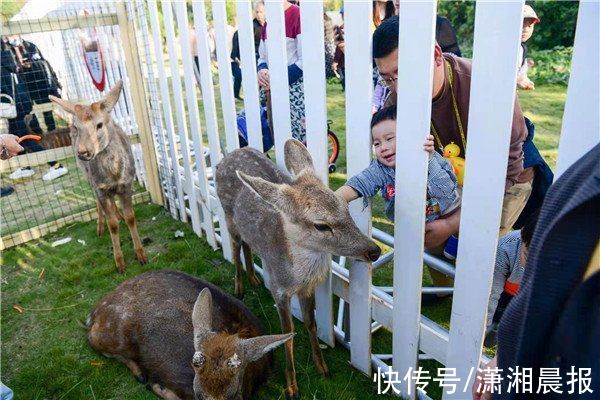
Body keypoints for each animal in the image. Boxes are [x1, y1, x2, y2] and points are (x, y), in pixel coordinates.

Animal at [49, 82, 146, 276]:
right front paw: (119, 263)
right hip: (88, 177)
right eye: (76, 127)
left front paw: (141, 255)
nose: (83, 152)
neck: (114, 175)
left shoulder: (127, 183)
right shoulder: (100, 187)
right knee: (99, 202)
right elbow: (112, 225)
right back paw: (100, 227)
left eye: (99, 124)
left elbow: (131, 217)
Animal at [88, 268, 294, 400]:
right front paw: (158, 386)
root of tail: (95, 311)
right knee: (93, 340)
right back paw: (141, 375)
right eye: (197, 392)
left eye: (233, 393)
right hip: (114, 336)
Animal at [218, 139, 382, 398]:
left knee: (246, 243)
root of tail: (230, 153)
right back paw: (239, 287)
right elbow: (288, 334)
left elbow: (311, 322)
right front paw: (292, 386)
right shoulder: (279, 289)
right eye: (321, 225)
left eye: (345, 207)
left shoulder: (308, 288)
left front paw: (322, 366)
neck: (296, 276)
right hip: (227, 216)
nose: (374, 251)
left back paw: (254, 279)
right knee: (235, 247)